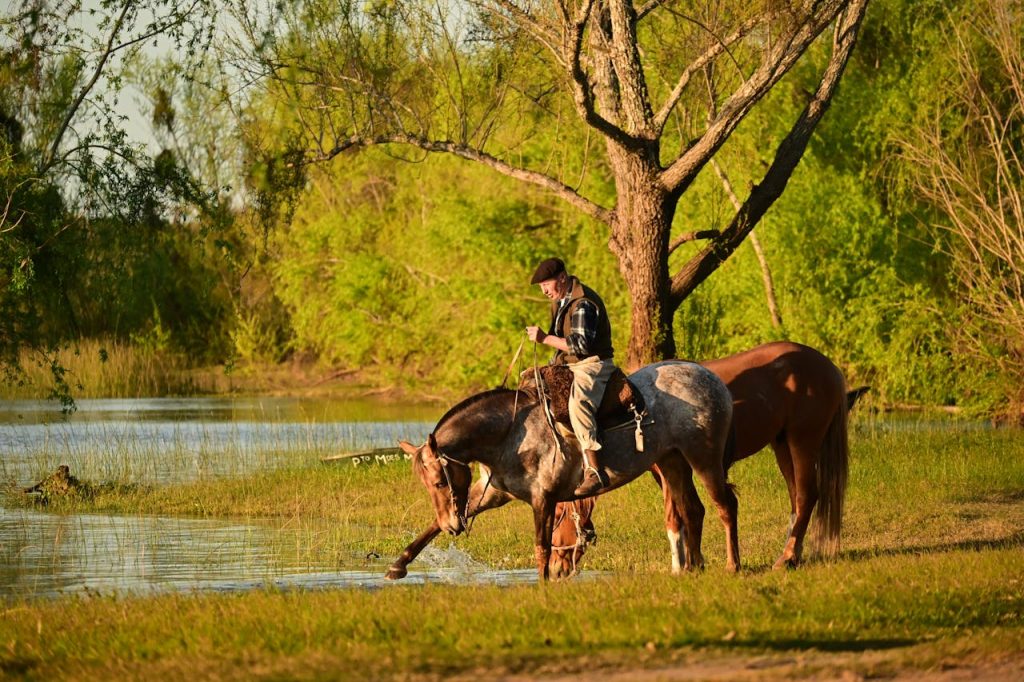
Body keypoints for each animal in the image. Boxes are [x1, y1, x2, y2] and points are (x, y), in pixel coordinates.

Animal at [389, 361, 738, 581]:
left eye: (439, 481)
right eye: (427, 484)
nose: (454, 527)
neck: (511, 432)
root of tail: (710, 378)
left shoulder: (543, 499)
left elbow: (541, 547)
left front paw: (543, 584)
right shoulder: (493, 494)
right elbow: (430, 526)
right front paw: (398, 565)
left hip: (703, 458)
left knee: (725, 505)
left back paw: (732, 565)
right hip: (672, 462)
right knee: (692, 510)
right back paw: (694, 567)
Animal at [549, 341, 857, 577]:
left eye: (557, 519)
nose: (554, 569)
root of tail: (828, 367)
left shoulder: (669, 467)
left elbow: (677, 514)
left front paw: (682, 565)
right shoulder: (673, 467)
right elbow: (685, 513)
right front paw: (687, 564)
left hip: (802, 442)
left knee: (806, 496)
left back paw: (786, 557)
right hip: (782, 445)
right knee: (796, 500)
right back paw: (792, 554)